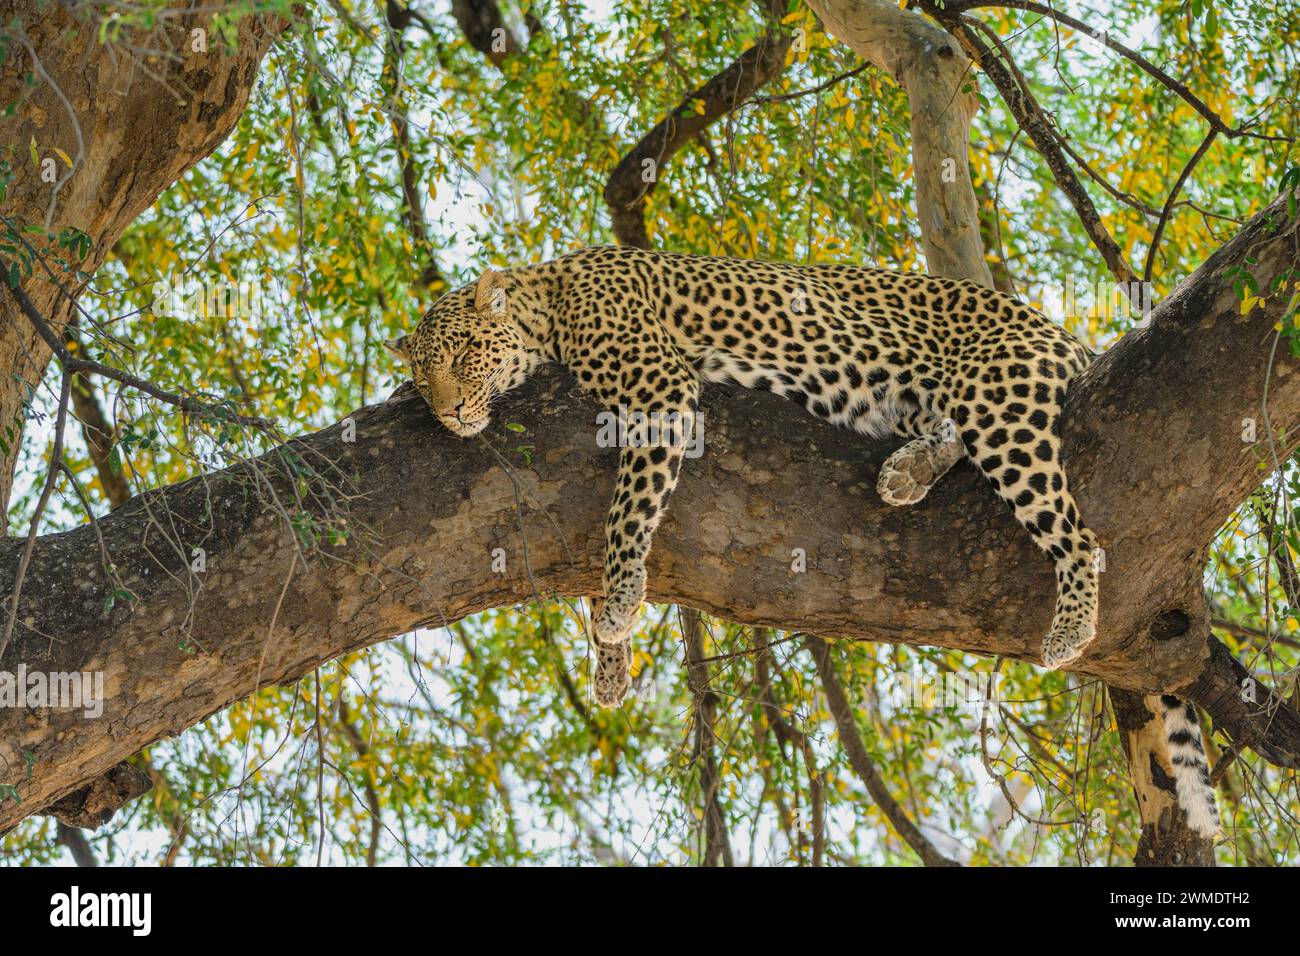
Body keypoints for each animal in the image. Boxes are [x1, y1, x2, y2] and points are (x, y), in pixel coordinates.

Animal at [384, 247, 1216, 837]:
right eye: (422, 380)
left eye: (460, 357)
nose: (448, 412)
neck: (547, 301)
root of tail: (1062, 332)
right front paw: (612, 662)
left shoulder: (657, 392)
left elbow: (628, 513)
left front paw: (618, 605)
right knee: (952, 436)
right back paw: (908, 472)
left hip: (1000, 397)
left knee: (1077, 531)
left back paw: (1070, 626)